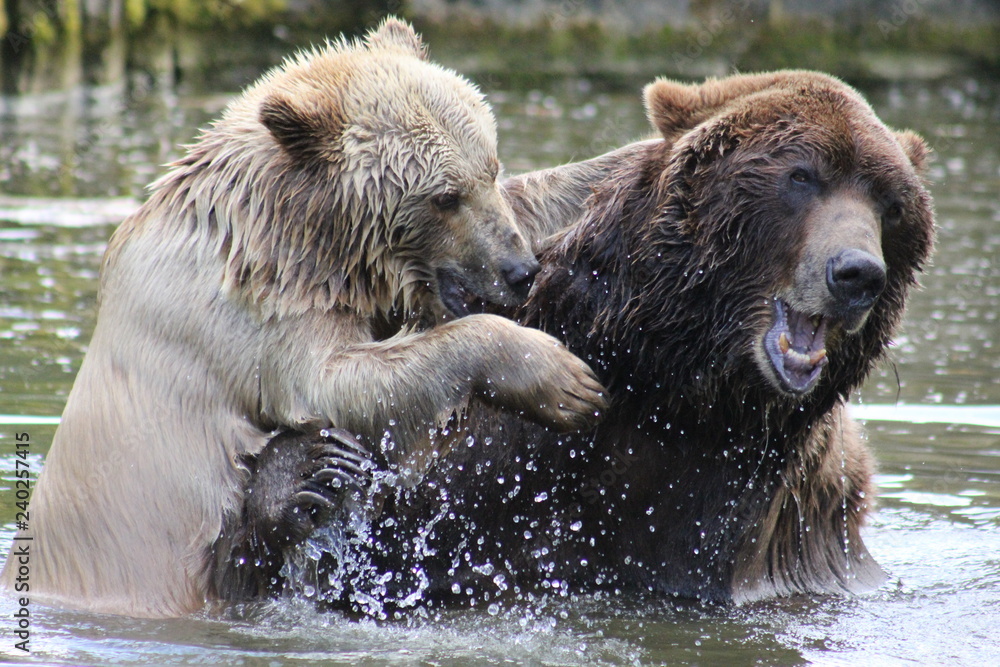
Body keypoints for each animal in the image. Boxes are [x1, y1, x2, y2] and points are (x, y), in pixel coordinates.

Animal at [0, 18, 643, 618]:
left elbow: (547, 195)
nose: (518, 269)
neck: (303, 234)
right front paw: (565, 380)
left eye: (491, 168)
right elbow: (339, 381)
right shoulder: (255, 312)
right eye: (443, 197)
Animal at [235, 70, 935, 611]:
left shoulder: (734, 509)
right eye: (802, 176)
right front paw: (308, 474)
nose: (856, 273)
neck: (672, 382)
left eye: (892, 204)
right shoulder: (509, 447)